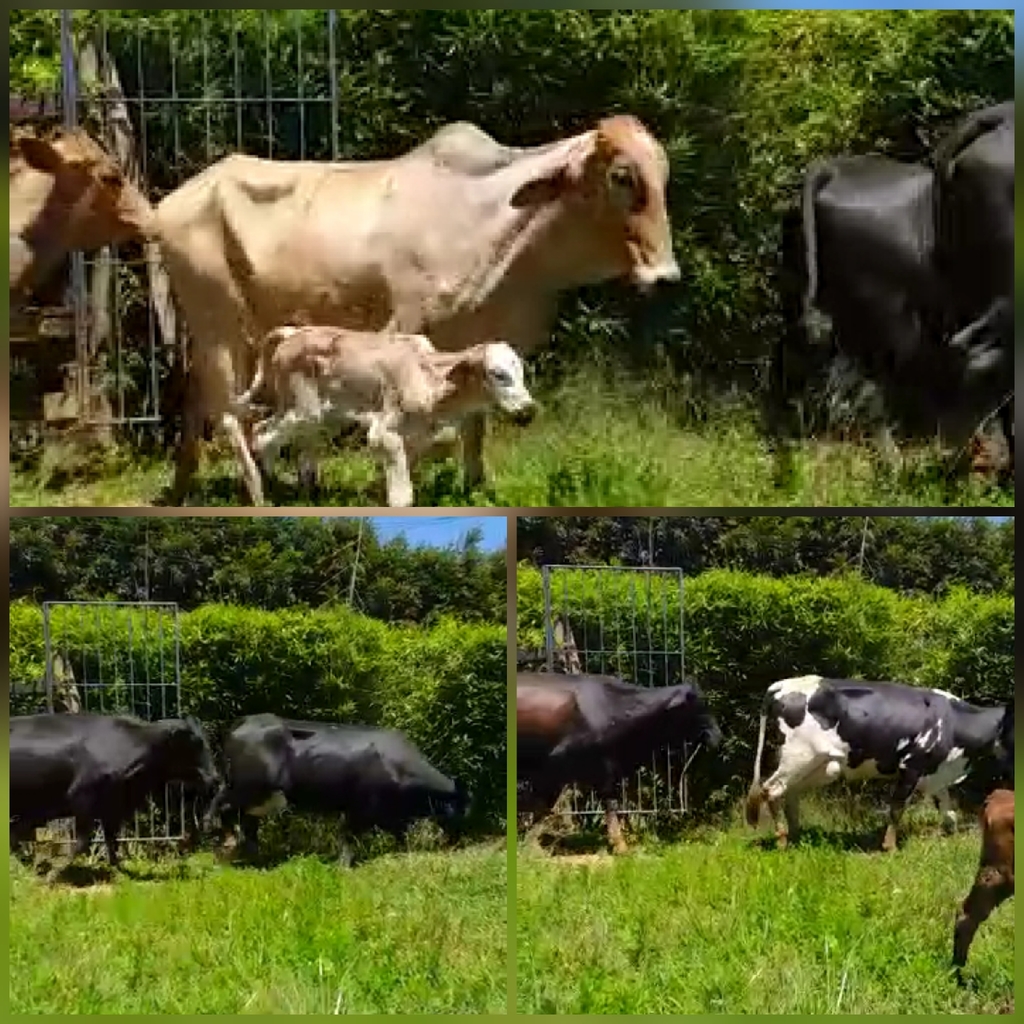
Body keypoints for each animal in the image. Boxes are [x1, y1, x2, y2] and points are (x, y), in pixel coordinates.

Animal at [9, 712, 220, 868]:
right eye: (194, 745)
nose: (215, 777)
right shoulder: (82, 800)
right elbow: (82, 843)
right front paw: (55, 872)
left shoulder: (111, 808)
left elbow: (112, 842)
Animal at [201, 714, 469, 866]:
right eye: (462, 810)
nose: (459, 841)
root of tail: (245, 721)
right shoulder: (359, 808)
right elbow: (348, 835)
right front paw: (344, 863)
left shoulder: (389, 814)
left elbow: (399, 834)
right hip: (246, 785)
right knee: (218, 802)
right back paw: (218, 834)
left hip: (259, 797)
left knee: (245, 821)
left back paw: (249, 854)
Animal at [232, 324, 536, 506]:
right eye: (498, 374)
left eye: (521, 371)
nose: (528, 410)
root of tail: (294, 333)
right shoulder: (383, 432)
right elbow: (403, 496)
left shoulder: (419, 439)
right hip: (304, 410)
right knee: (262, 433)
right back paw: (266, 493)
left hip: (321, 417)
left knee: (300, 448)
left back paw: (307, 493)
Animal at [745, 675, 1012, 851]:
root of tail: (783, 684)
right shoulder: (911, 765)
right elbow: (896, 808)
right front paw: (890, 846)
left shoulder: (936, 773)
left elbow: (948, 809)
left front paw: (950, 833)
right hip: (798, 755)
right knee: (772, 789)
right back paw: (782, 840)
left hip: (820, 765)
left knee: (790, 793)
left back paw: (796, 836)